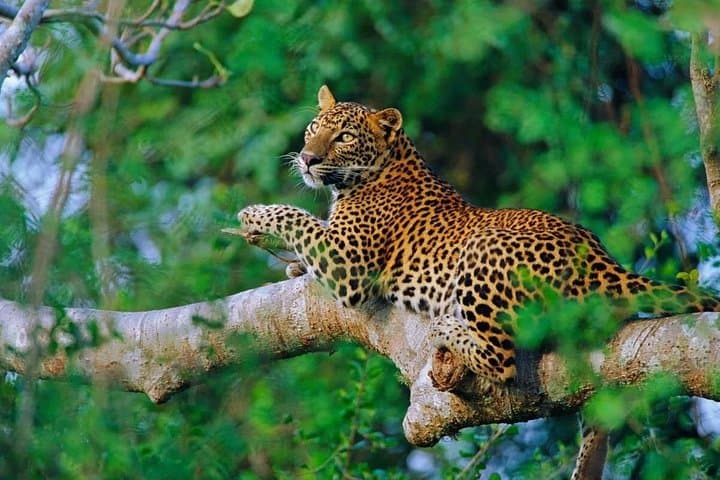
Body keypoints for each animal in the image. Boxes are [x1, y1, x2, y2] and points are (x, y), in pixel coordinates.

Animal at [236, 85, 720, 388]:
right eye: (312, 130)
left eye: (344, 137)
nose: (306, 158)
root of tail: (602, 260)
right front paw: (293, 266)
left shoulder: (348, 263)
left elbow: (298, 218)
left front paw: (254, 213)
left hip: (483, 253)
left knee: (501, 360)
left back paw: (448, 327)